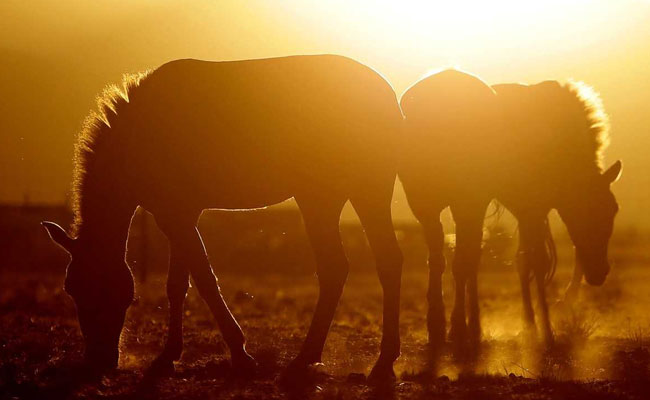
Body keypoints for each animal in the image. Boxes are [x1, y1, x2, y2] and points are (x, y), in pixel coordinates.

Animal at [41, 55, 400, 378]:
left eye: (95, 286)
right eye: (71, 288)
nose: (98, 360)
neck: (138, 135)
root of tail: (389, 98)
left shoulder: (176, 216)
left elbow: (204, 280)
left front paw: (240, 354)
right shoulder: (177, 215)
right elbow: (177, 285)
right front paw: (168, 356)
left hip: (323, 199)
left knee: (337, 268)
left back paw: (308, 359)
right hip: (360, 195)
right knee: (382, 263)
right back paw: (381, 362)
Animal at [398, 70, 620, 352]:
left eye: (613, 210)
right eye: (596, 210)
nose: (600, 273)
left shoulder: (525, 209)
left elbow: (522, 261)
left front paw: (531, 326)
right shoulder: (532, 207)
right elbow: (536, 261)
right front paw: (545, 331)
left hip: (435, 204)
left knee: (452, 257)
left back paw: (451, 326)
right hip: (463, 202)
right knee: (464, 259)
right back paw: (461, 328)